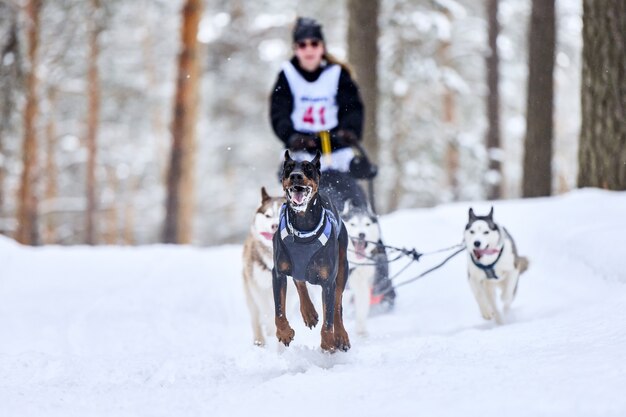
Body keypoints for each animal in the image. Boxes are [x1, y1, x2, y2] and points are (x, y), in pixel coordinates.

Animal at [241, 187, 286, 346]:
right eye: (268, 215)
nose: (275, 225)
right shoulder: (258, 287)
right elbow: (266, 309)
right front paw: (271, 327)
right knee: (255, 317)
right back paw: (259, 340)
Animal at [338, 199, 378, 334]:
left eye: (367, 224)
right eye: (353, 224)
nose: (361, 234)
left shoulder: (361, 285)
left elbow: (361, 310)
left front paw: (361, 331)